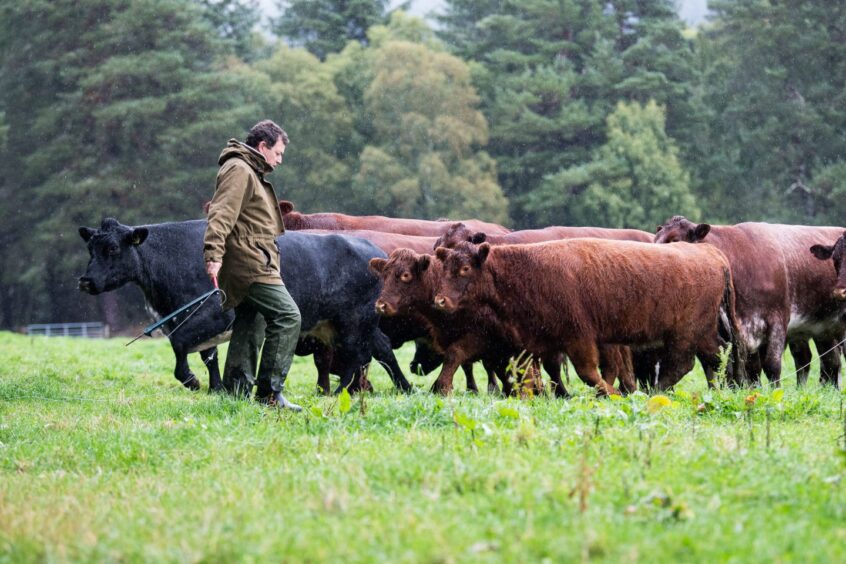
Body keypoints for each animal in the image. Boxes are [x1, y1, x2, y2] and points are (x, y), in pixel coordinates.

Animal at [80, 218, 414, 394]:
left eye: (113, 248)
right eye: (91, 249)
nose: (85, 281)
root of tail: (374, 251)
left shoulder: (215, 313)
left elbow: (179, 343)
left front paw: (191, 380)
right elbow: (208, 355)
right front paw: (217, 387)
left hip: (353, 320)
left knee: (357, 354)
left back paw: (339, 391)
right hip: (347, 322)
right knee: (380, 348)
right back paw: (404, 387)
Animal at [368, 249, 552, 398]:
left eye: (406, 275)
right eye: (384, 275)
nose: (381, 305)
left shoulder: (479, 339)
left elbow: (454, 356)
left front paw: (442, 388)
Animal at [434, 240, 744, 394]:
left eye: (464, 268)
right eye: (444, 267)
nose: (439, 300)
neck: (524, 269)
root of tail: (711, 253)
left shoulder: (579, 338)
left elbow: (588, 373)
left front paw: (612, 393)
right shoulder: (526, 342)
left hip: (683, 334)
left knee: (682, 364)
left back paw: (654, 392)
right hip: (701, 333)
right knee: (716, 356)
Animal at [656, 217, 846, 388]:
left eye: (675, 240)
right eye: (655, 240)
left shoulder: (777, 321)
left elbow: (771, 365)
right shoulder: (735, 331)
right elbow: (747, 369)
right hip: (821, 330)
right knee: (823, 360)